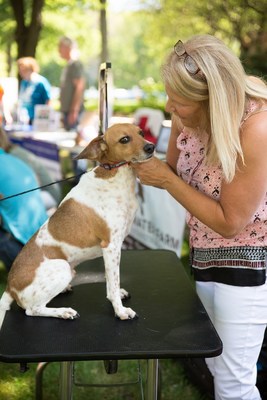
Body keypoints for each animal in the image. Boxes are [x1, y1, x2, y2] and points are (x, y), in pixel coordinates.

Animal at [0, 123, 155, 326]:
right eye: (124, 139)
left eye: (141, 133)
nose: (151, 147)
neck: (113, 174)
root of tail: (9, 287)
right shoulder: (111, 246)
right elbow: (113, 283)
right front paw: (120, 311)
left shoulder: (110, 251)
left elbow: (111, 282)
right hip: (63, 269)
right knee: (32, 310)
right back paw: (64, 312)